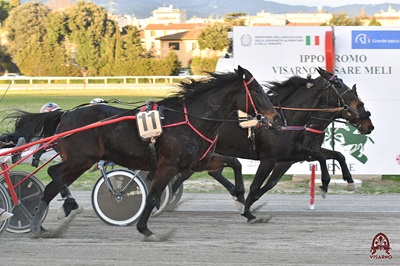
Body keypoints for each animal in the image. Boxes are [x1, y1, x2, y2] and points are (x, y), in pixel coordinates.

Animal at [4, 65, 280, 240]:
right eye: (257, 91)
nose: (275, 117)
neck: (190, 120)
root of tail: (65, 115)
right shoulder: (168, 165)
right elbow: (153, 194)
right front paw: (145, 229)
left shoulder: (196, 162)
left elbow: (235, 164)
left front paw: (245, 206)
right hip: (81, 159)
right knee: (53, 172)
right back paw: (65, 206)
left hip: (79, 161)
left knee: (51, 185)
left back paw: (39, 226)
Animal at [170, 67, 374, 222]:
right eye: (338, 84)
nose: (368, 121)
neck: (286, 120)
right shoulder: (271, 158)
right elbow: (260, 185)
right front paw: (247, 209)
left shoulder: (294, 153)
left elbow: (331, 155)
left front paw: (346, 181)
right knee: (187, 175)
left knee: (206, 172)